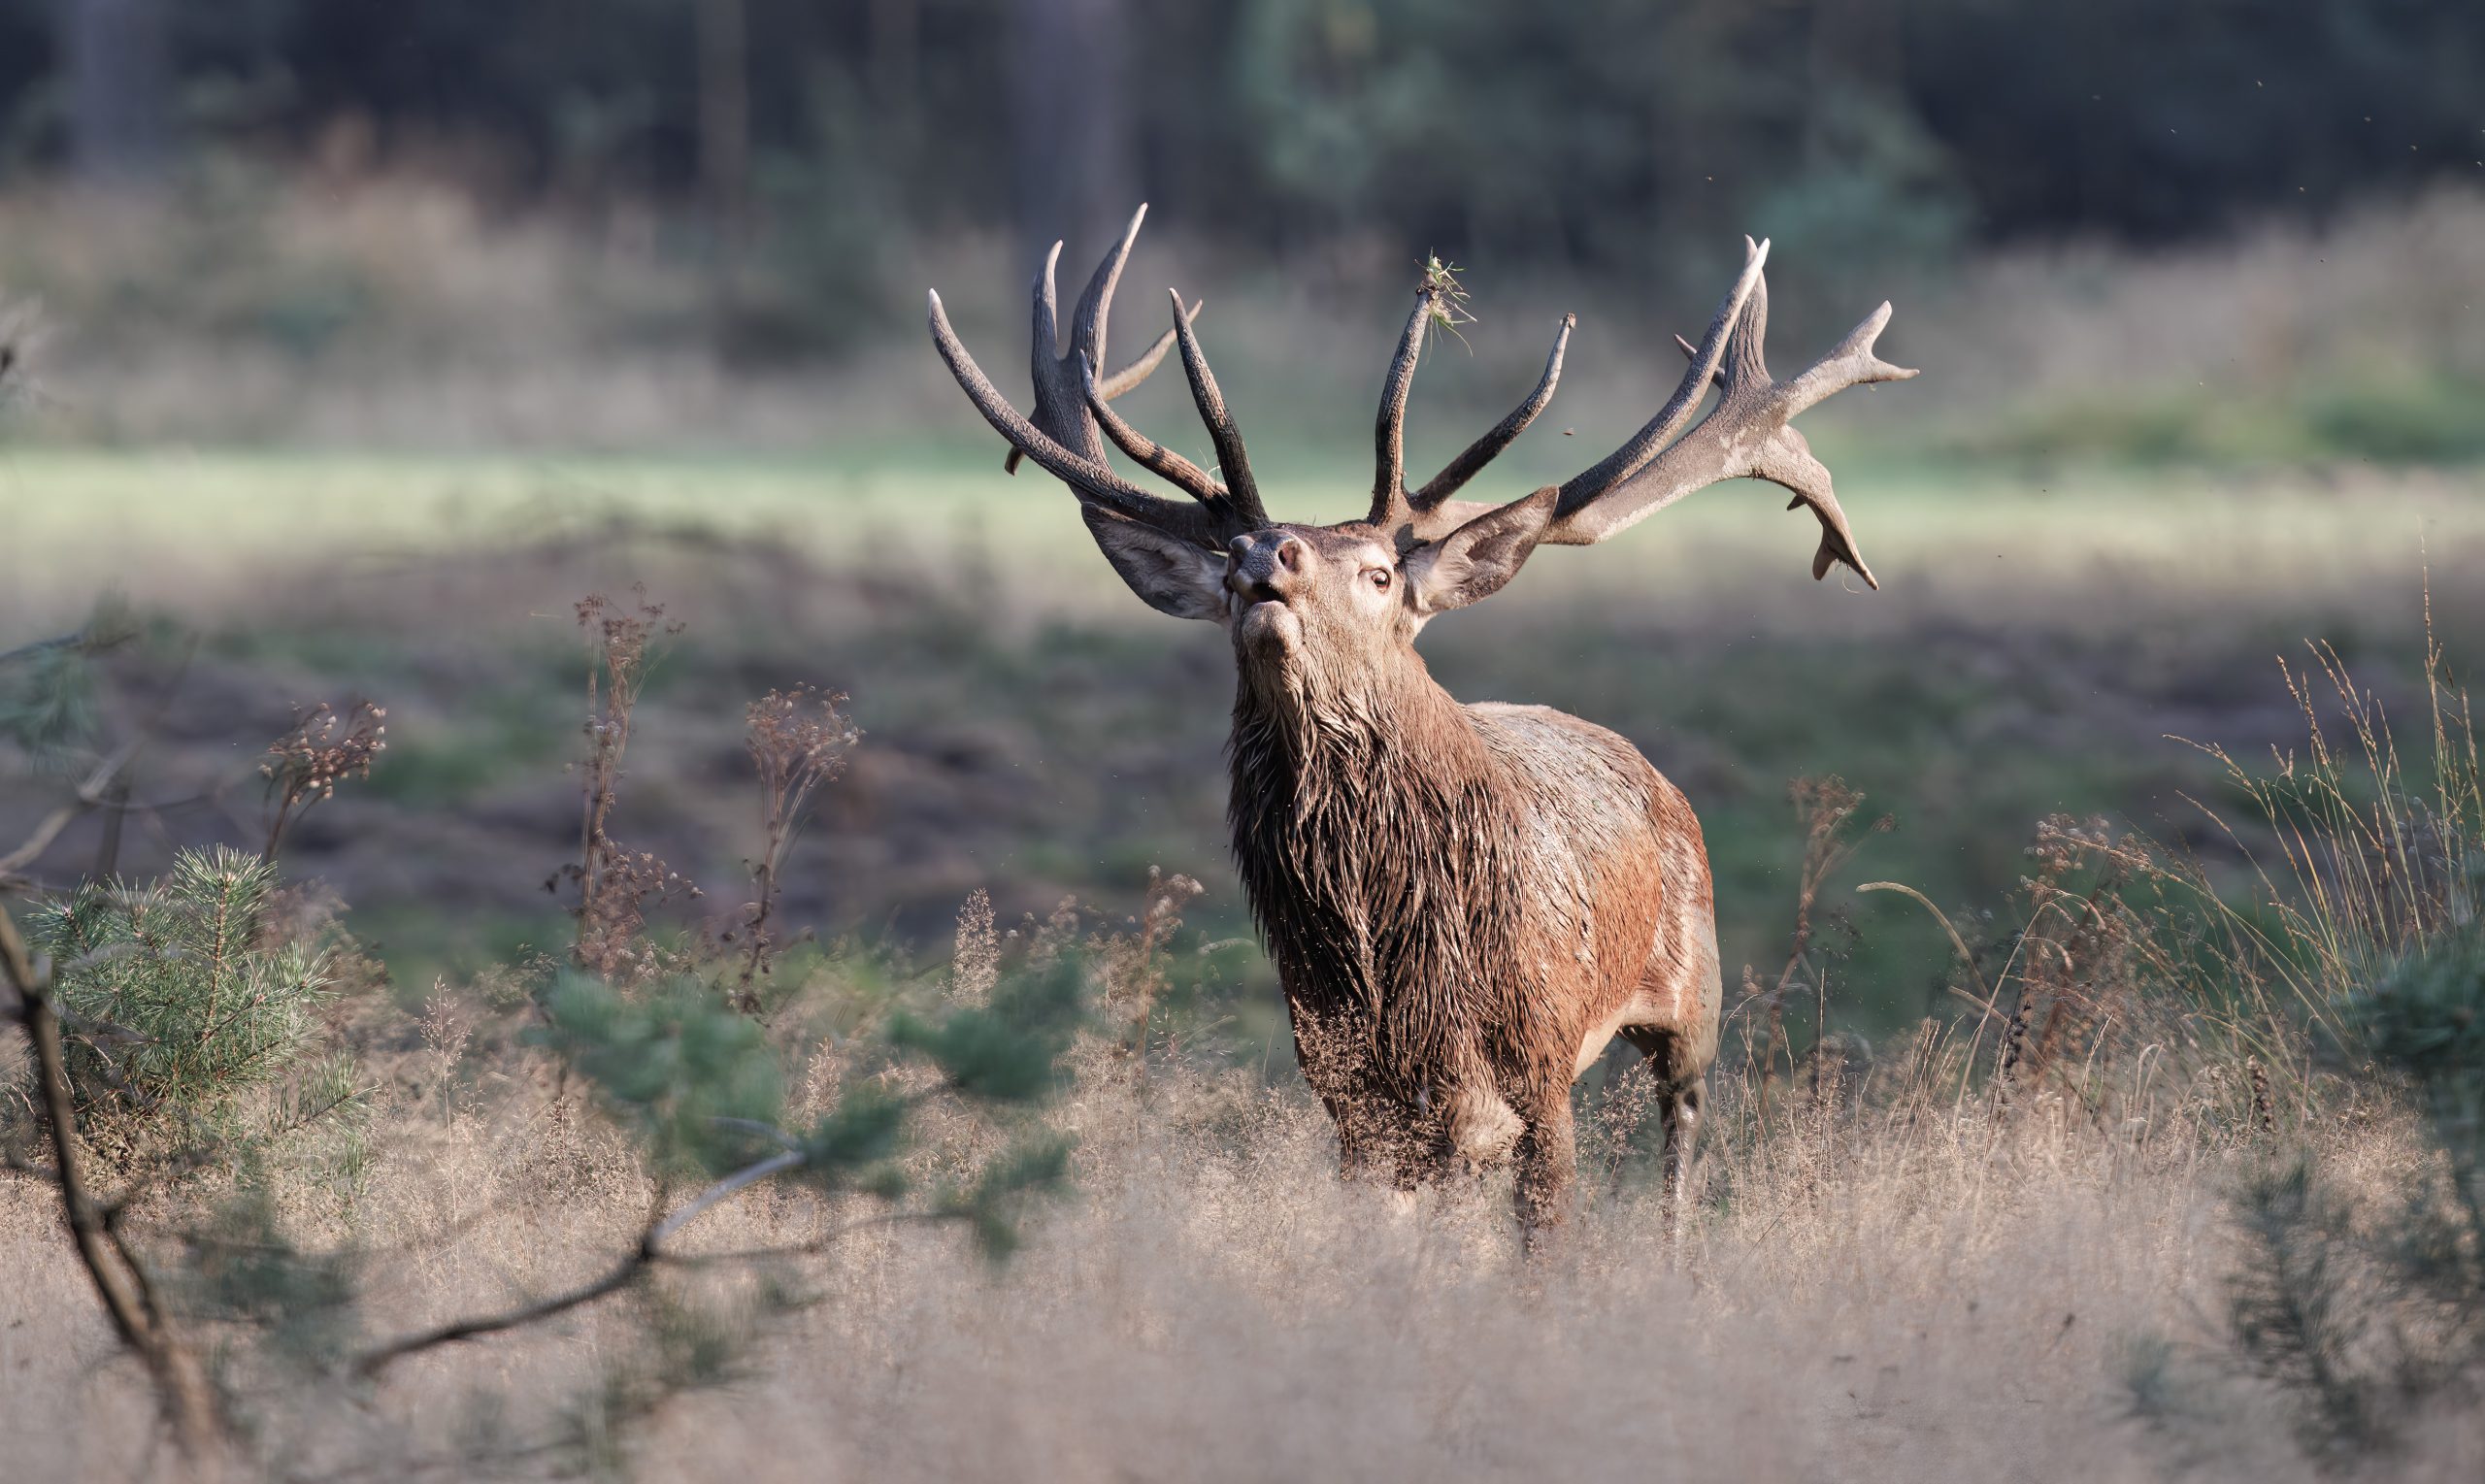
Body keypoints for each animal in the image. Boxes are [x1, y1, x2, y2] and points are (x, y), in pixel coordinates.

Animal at [924, 205, 1908, 1228]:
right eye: (1228, 562)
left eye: (1378, 572)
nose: (1265, 558)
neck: (1395, 953)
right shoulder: (1354, 1098)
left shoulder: (1542, 1071)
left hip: (1695, 993)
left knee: (1680, 1145)